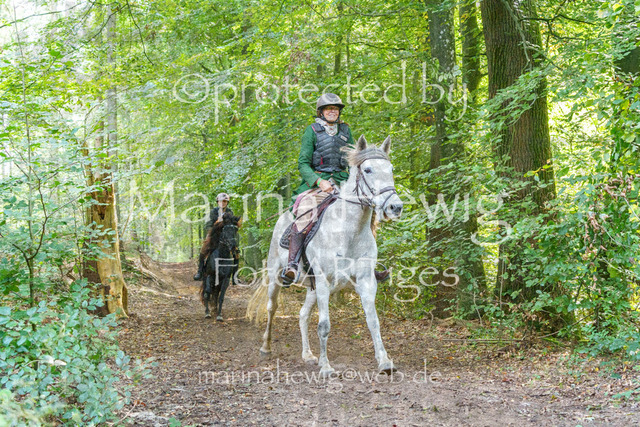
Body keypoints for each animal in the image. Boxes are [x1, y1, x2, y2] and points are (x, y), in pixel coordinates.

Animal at [248, 135, 403, 377]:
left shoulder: (366, 281)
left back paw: (308, 355)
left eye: (391, 169)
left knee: (303, 315)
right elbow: (324, 325)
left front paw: (385, 362)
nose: (395, 207)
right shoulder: (323, 279)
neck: (349, 233)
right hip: (278, 277)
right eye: (368, 170)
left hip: (313, 288)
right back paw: (266, 347)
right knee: (272, 308)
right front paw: (327, 367)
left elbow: (373, 321)